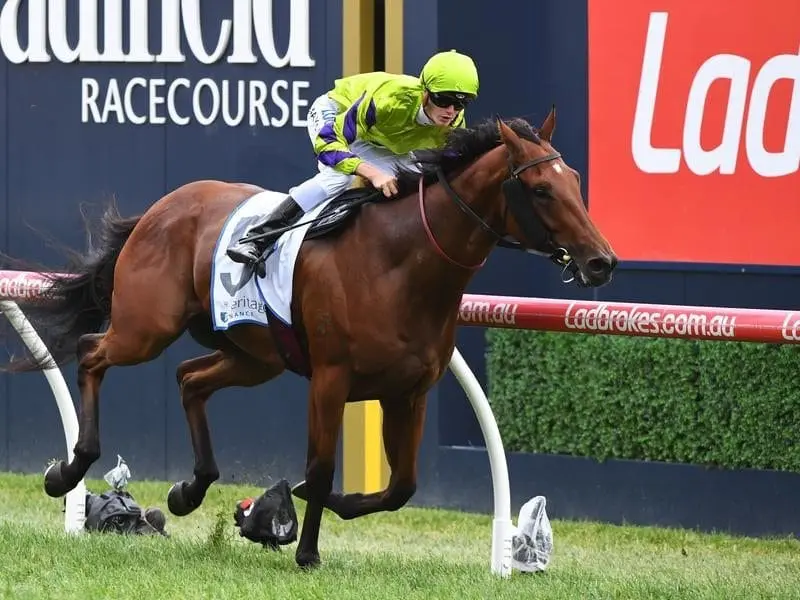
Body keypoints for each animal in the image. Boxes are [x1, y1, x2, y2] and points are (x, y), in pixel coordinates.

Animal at [1, 109, 620, 568]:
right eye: (540, 189)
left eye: (575, 182)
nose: (601, 262)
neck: (400, 263)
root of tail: (163, 206)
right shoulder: (330, 379)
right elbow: (321, 468)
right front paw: (306, 551)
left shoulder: (408, 391)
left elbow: (403, 485)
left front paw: (301, 508)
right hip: (146, 327)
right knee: (92, 354)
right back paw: (69, 470)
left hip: (257, 357)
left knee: (189, 379)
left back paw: (190, 489)